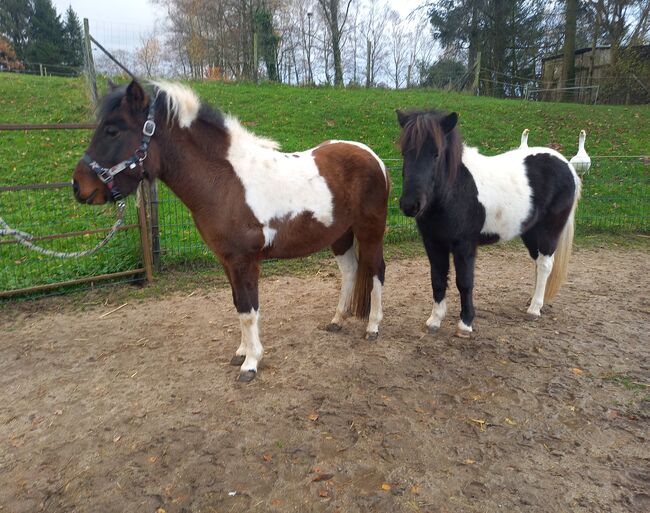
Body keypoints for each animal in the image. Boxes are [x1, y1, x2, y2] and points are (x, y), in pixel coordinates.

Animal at [73, 81, 388, 380]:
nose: (78, 187)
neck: (224, 182)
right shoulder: (227, 261)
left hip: (370, 231)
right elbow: (238, 306)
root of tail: (373, 157)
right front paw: (241, 353)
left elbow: (249, 311)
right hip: (341, 235)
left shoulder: (243, 260)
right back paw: (337, 320)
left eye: (113, 130)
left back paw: (373, 327)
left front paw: (251, 364)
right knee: (350, 271)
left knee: (376, 270)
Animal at [398, 110, 580, 338]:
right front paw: (434, 320)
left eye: (436, 154)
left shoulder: (464, 245)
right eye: (404, 152)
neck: (454, 190)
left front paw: (465, 323)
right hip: (530, 233)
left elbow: (464, 283)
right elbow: (437, 279)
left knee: (546, 264)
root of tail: (565, 164)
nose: (410, 205)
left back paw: (534, 309)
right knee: (538, 264)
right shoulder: (433, 243)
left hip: (549, 231)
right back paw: (533, 300)